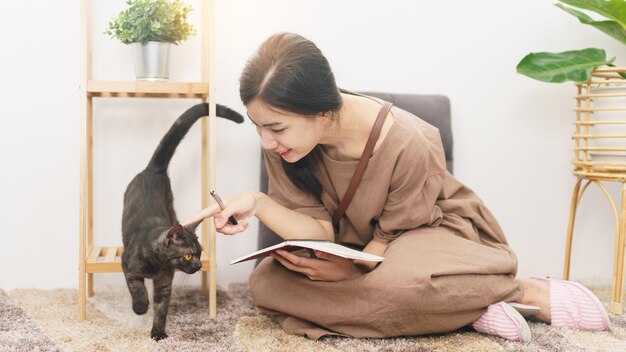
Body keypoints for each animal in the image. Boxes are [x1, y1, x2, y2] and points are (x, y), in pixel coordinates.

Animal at [120, 103, 243, 340]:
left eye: (200, 253)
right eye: (187, 255)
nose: (199, 265)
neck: (158, 265)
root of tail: (153, 170)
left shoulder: (164, 284)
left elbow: (161, 309)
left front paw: (158, 333)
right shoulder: (128, 267)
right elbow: (137, 289)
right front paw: (140, 308)